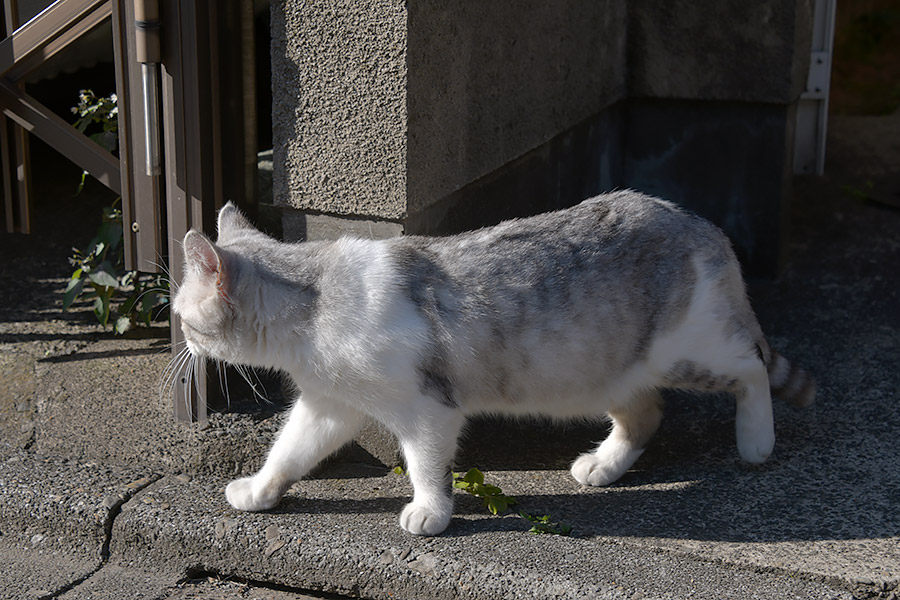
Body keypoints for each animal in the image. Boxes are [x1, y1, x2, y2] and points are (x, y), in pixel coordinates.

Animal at [174, 191, 816, 536]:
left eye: (182, 315)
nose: (178, 339)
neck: (315, 304)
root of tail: (696, 221)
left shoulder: (427, 410)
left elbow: (426, 466)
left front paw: (430, 512)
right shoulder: (330, 405)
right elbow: (289, 451)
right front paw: (261, 490)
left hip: (690, 349)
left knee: (752, 366)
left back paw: (756, 440)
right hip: (603, 369)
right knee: (647, 413)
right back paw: (604, 465)